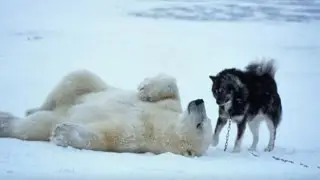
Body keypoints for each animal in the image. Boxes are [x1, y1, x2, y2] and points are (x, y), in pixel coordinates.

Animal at [0, 69, 212, 157]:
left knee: (34, 126)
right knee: (78, 78)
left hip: (50, 119)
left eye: (201, 124)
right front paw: (146, 87)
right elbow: (171, 89)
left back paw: (5, 122)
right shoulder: (169, 107)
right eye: (206, 119)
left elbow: (107, 135)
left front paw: (63, 132)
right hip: (85, 88)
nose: (199, 102)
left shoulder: (139, 135)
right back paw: (31, 108)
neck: (160, 124)